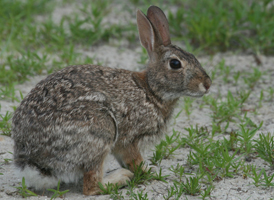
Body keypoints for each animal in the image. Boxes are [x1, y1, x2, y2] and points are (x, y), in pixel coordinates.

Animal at [11, 5, 212, 195]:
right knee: (91, 186)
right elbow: (135, 160)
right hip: (101, 130)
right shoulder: (128, 139)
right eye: (175, 64)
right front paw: (147, 173)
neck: (151, 91)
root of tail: (32, 162)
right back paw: (121, 178)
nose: (207, 84)